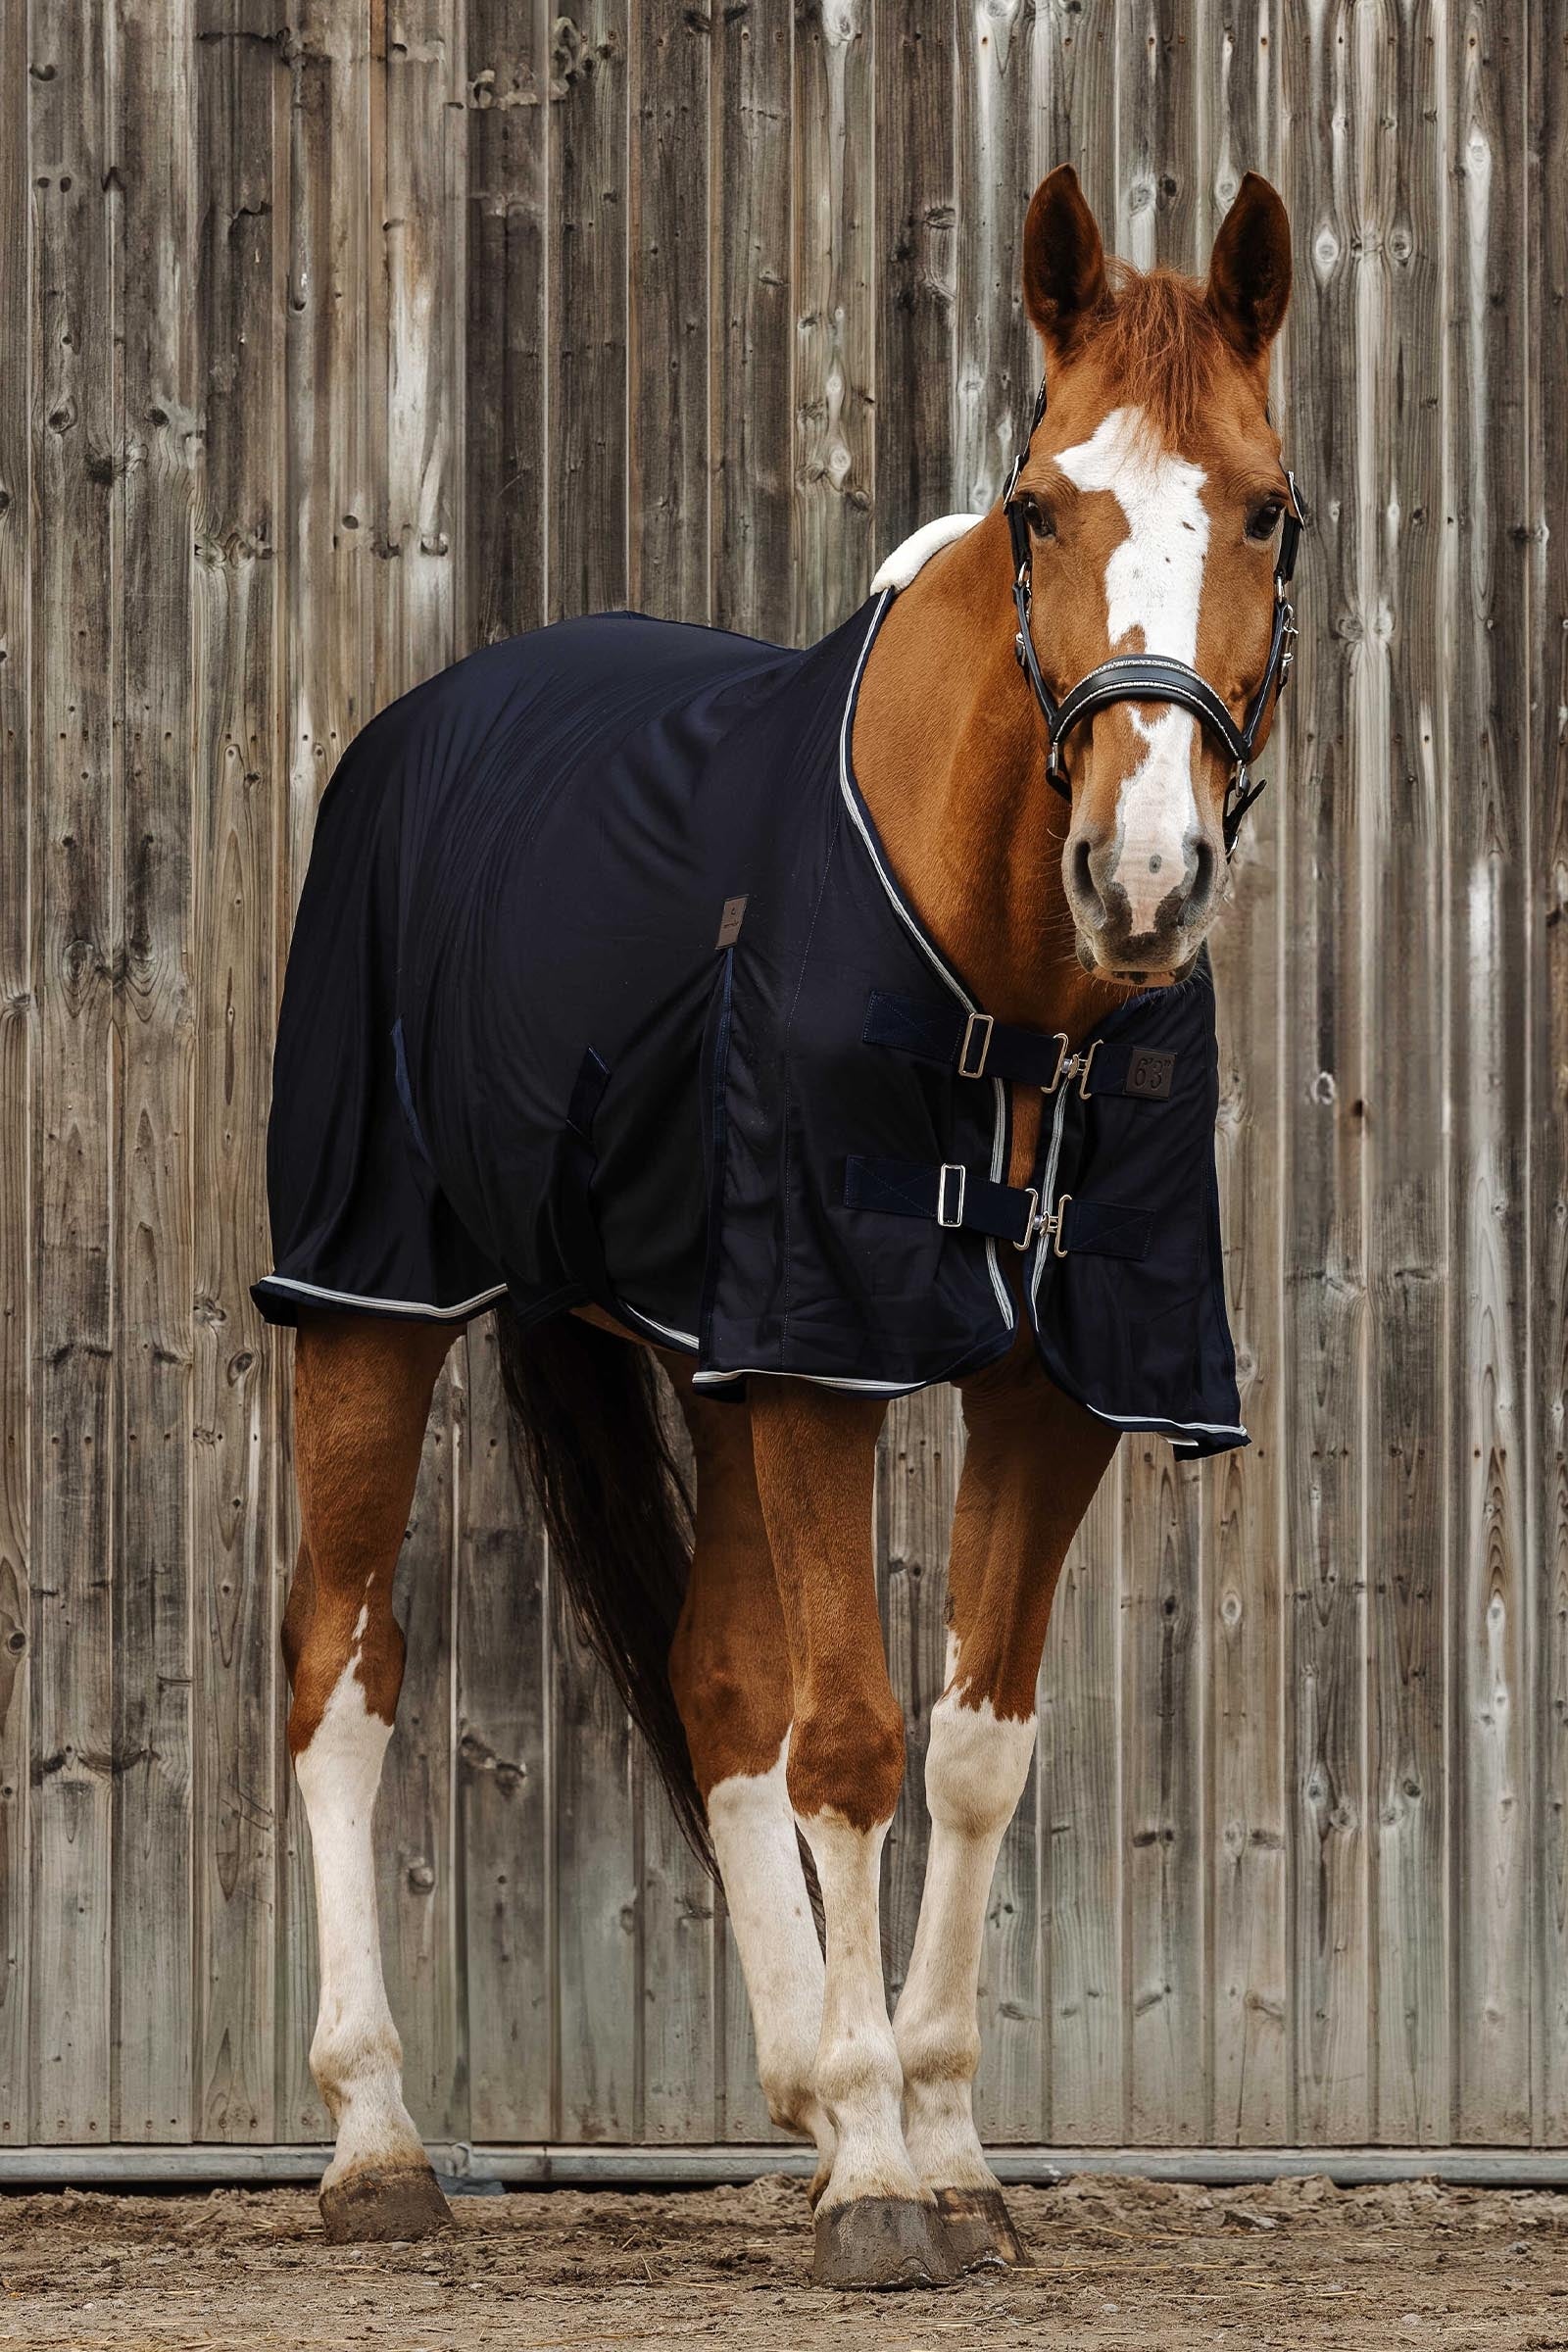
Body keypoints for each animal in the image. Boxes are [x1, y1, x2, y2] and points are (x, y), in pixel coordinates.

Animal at [267, 164, 1299, 2291]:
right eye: (1037, 507)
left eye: (1264, 507)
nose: (1143, 877)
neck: (1013, 989)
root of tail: (429, 718)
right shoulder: (822, 1357)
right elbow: (853, 1739)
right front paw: (890, 2186)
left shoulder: (1036, 1384)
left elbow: (967, 1750)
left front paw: (932, 2143)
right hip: (373, 1294)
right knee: (341, 1662)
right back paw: (378, 2142)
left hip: (697, 1345)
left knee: (713, 1681)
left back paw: (808, 2096)